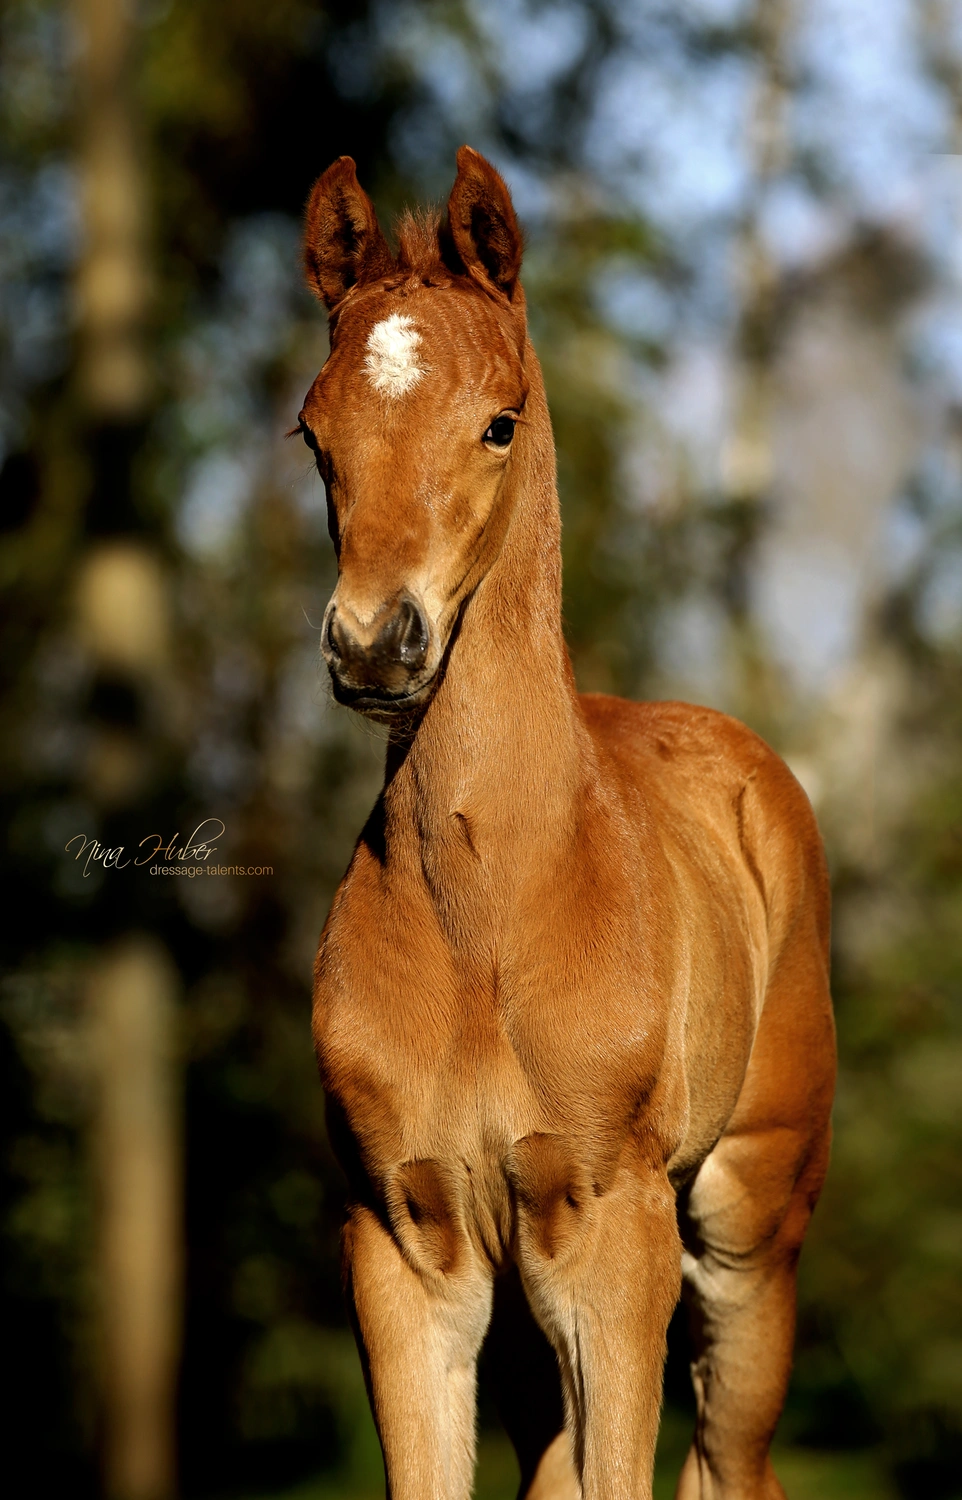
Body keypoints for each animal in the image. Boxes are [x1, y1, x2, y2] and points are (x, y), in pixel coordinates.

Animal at [298, 146, 836, 1500]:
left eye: (498, 421)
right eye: (312, 432)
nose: (373, 647)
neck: (489, 909)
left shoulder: (612, 1234)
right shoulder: (405, 1238)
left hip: (745, 1226)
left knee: (728, 1459)